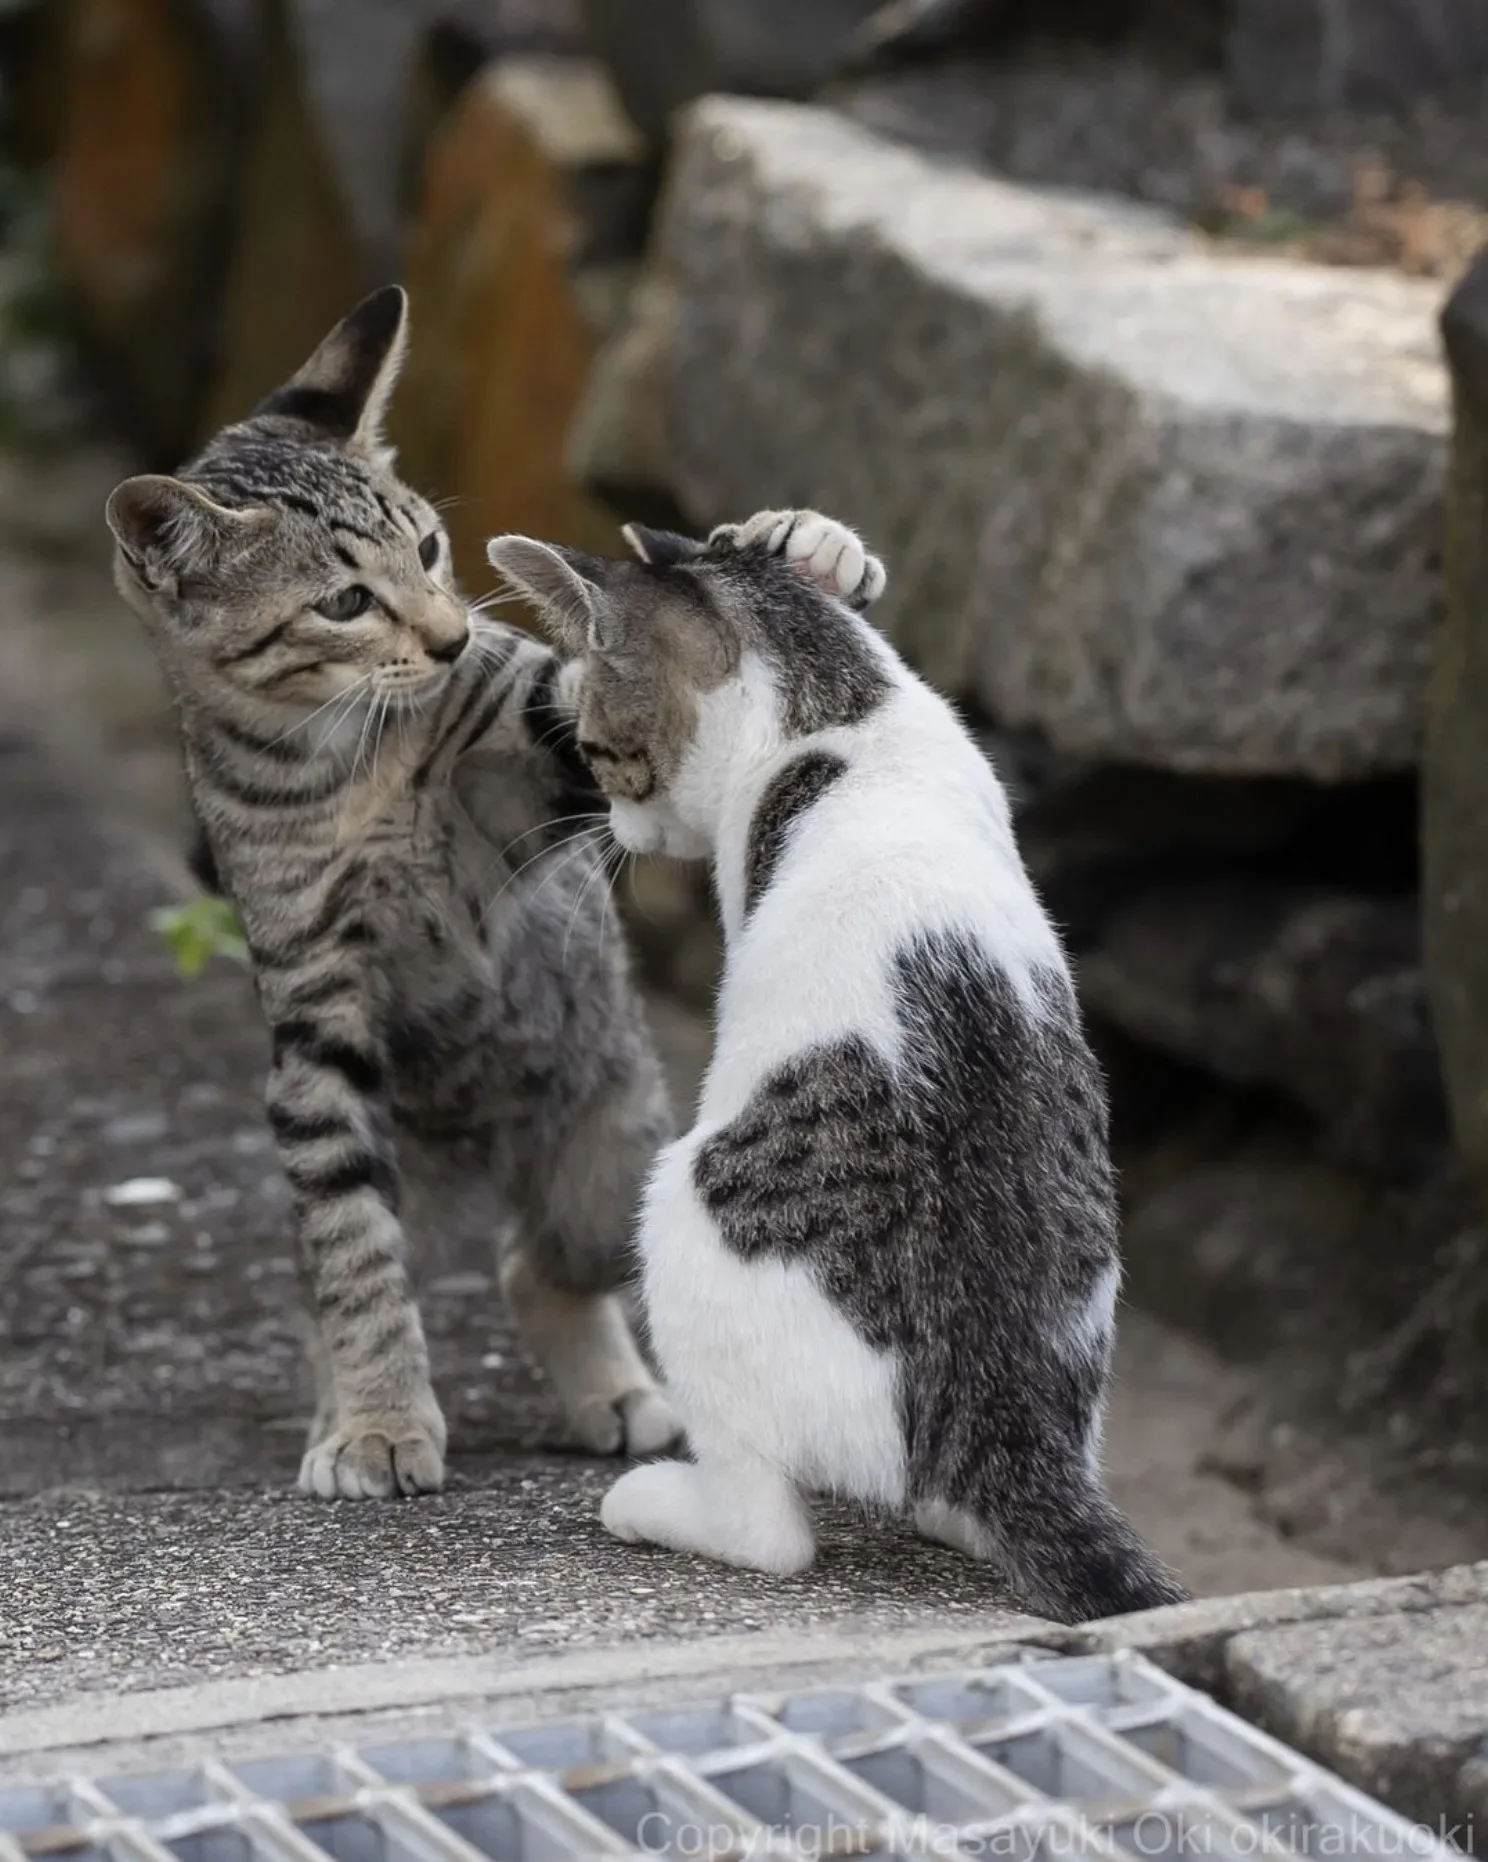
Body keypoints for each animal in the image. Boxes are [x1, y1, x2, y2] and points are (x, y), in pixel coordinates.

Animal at [487, 506, 1184, 1616]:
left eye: (600, 750)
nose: (623, 829)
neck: (848, 718)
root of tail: (1006, 1433)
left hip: (677, 1212)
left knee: (769, 1531)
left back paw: (656, 1500)